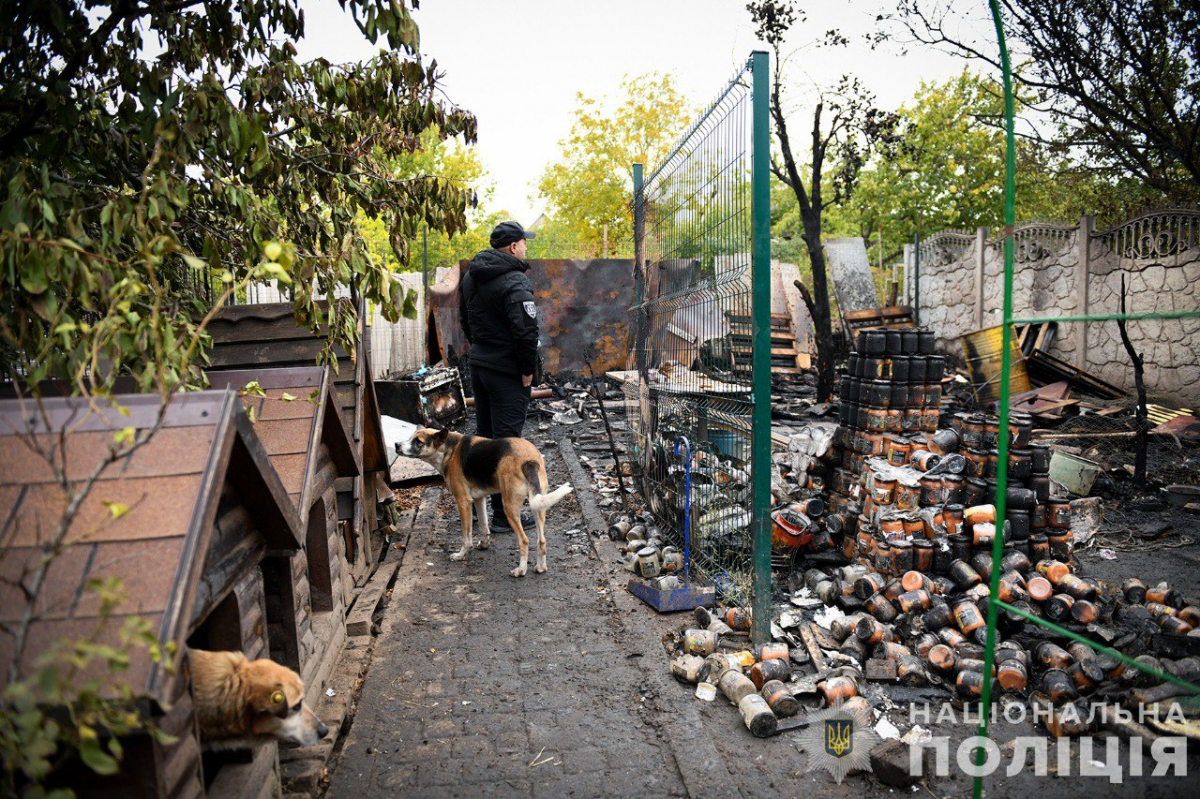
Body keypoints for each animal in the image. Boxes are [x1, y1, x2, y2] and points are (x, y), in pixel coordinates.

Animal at [396, 427, 573, 575]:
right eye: (410, 437)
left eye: (418, 441)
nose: (396, 444)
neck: (448, 449)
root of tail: (529, 460)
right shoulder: (478, 499)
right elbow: (483, 525)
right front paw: (484, 544)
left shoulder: (463, 502)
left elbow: (466, 536)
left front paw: (461, 554)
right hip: (538, 506)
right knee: (541, 540)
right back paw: (540, 567)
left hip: (509, 507)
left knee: (524, 540)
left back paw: (521, 570)